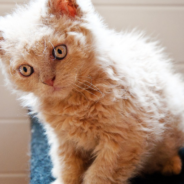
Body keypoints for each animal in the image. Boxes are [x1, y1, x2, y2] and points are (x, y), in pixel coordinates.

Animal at [0, 0, 184, 184]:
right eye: (25, 70)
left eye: (59, 51)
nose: (49, 80)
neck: (74, 102)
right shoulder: (63, 140)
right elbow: (67, 166)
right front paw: (64, 180)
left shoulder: (125, 140)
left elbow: (100, 174)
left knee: (171, 147)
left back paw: (171, 164)